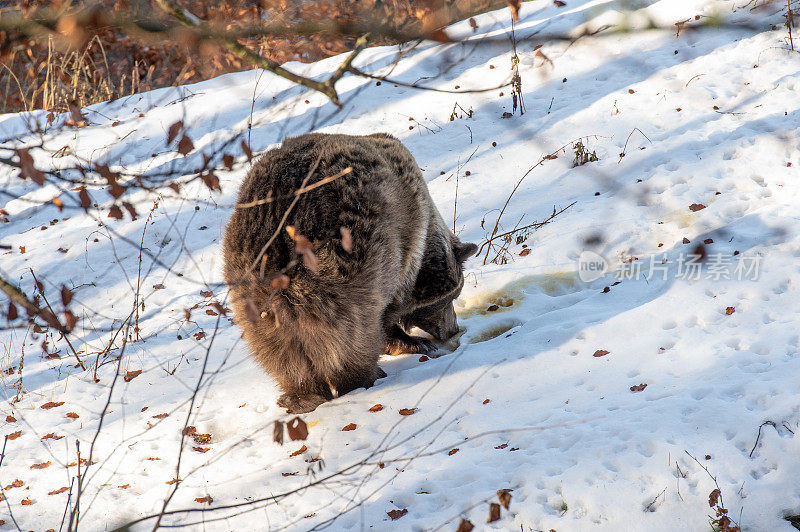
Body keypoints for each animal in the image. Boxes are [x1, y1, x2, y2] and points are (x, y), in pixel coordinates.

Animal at [222, 131, 476, 414]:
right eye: (451, 297)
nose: (453, 329)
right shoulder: (396, 255)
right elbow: (384, 318)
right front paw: (414, 342)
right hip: (342, 272)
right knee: (354, 338)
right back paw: (365, 377)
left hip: (252, 295)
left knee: (281, 353)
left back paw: (300, 396)